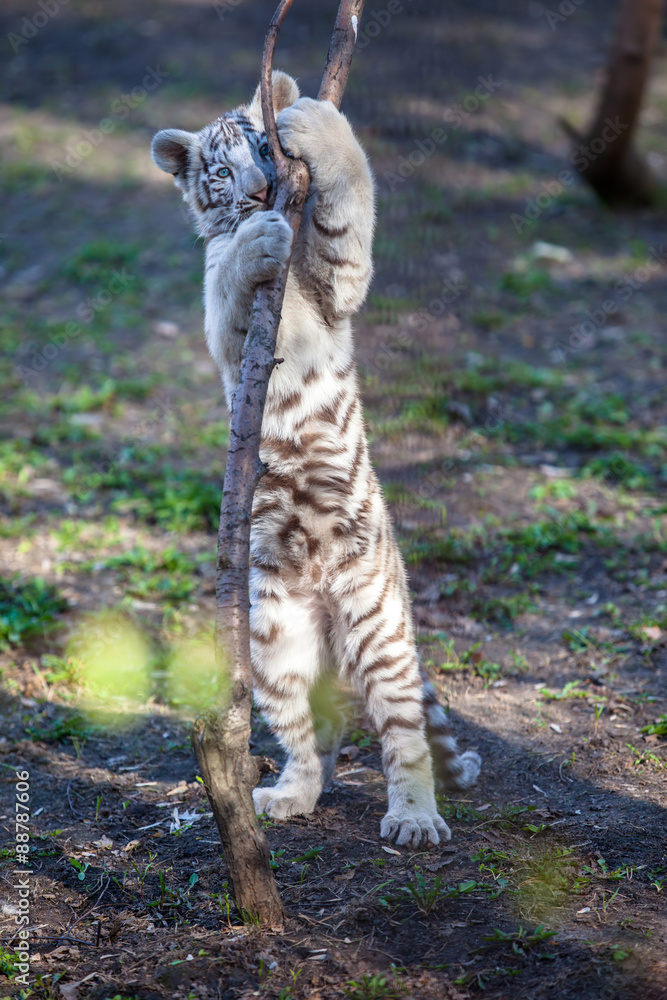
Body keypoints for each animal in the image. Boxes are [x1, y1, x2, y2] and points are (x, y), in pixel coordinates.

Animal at [151, 71, 481, 847]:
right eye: (218, 170)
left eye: (262, 145)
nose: (257, 188)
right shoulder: (227, 328)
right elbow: (231, 275)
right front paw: (255, 237)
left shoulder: (340, 279)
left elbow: (350, 196)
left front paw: (314, 122)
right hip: (275, 638)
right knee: (310, 733)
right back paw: (290, 794)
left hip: (378, 624)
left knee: (403, 738)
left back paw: (414, 818)